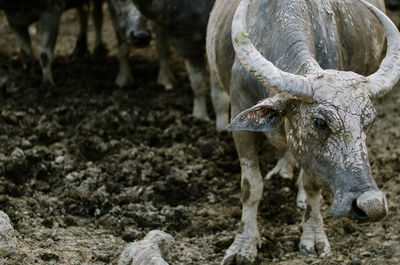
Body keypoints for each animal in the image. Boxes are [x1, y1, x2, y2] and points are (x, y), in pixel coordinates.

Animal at [208, 0, 398, 262]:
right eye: (320, 122)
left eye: (368, 122)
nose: (372, 206)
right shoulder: (240, 118)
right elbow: (251, 186)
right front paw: (244, 245)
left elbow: (312, 187)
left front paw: (313, 236)